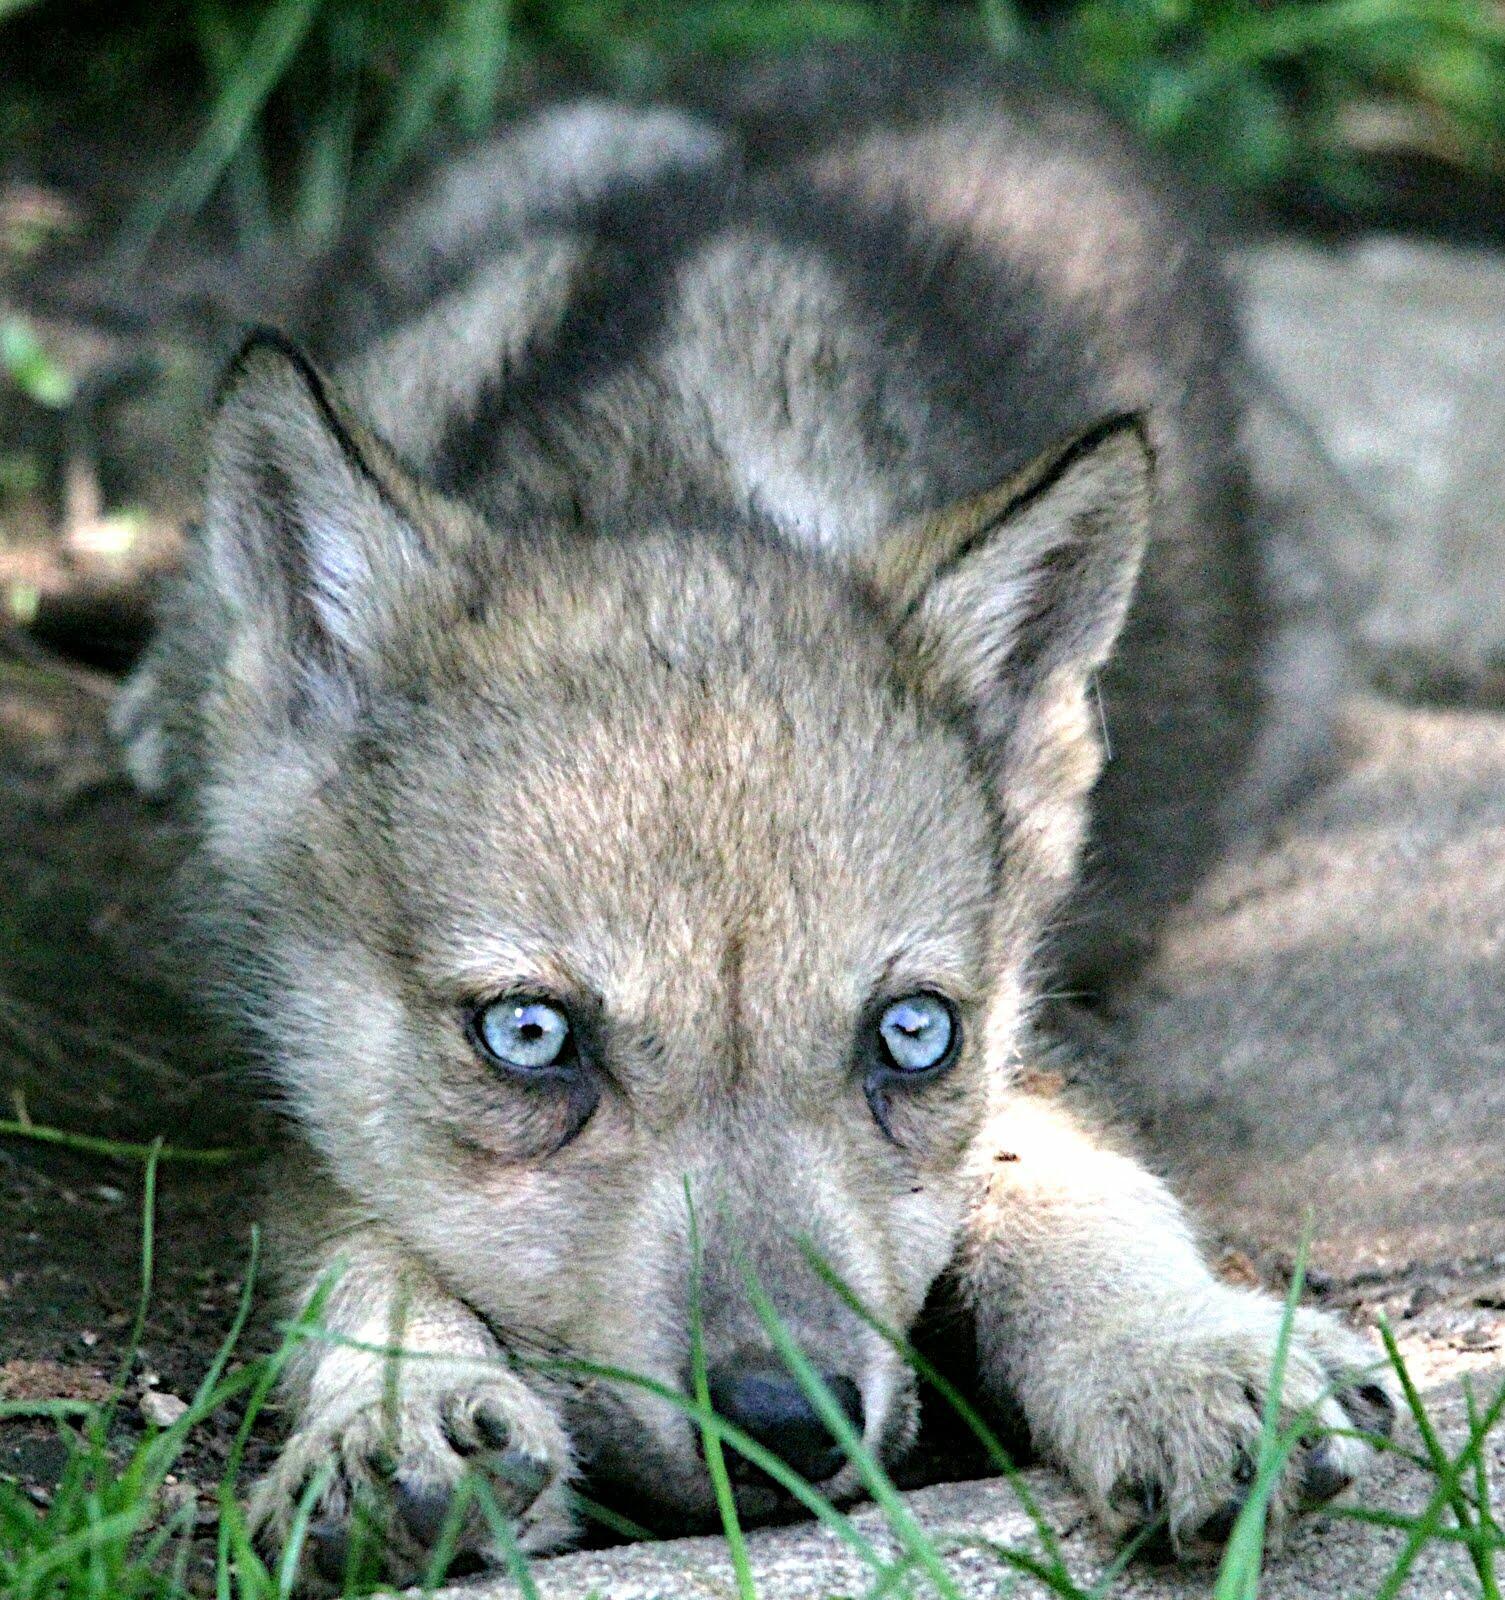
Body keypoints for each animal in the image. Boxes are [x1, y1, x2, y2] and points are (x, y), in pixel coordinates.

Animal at [117, 50, 1394, 1587]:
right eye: (529, 1036)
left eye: (913, 1036)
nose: (785, 1426)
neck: (648, 472)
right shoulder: (283, 1076)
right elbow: (358, 1233)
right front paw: (400, 1407)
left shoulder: (1039, 1023)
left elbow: (1069, 1171)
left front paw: (1180, 1356)